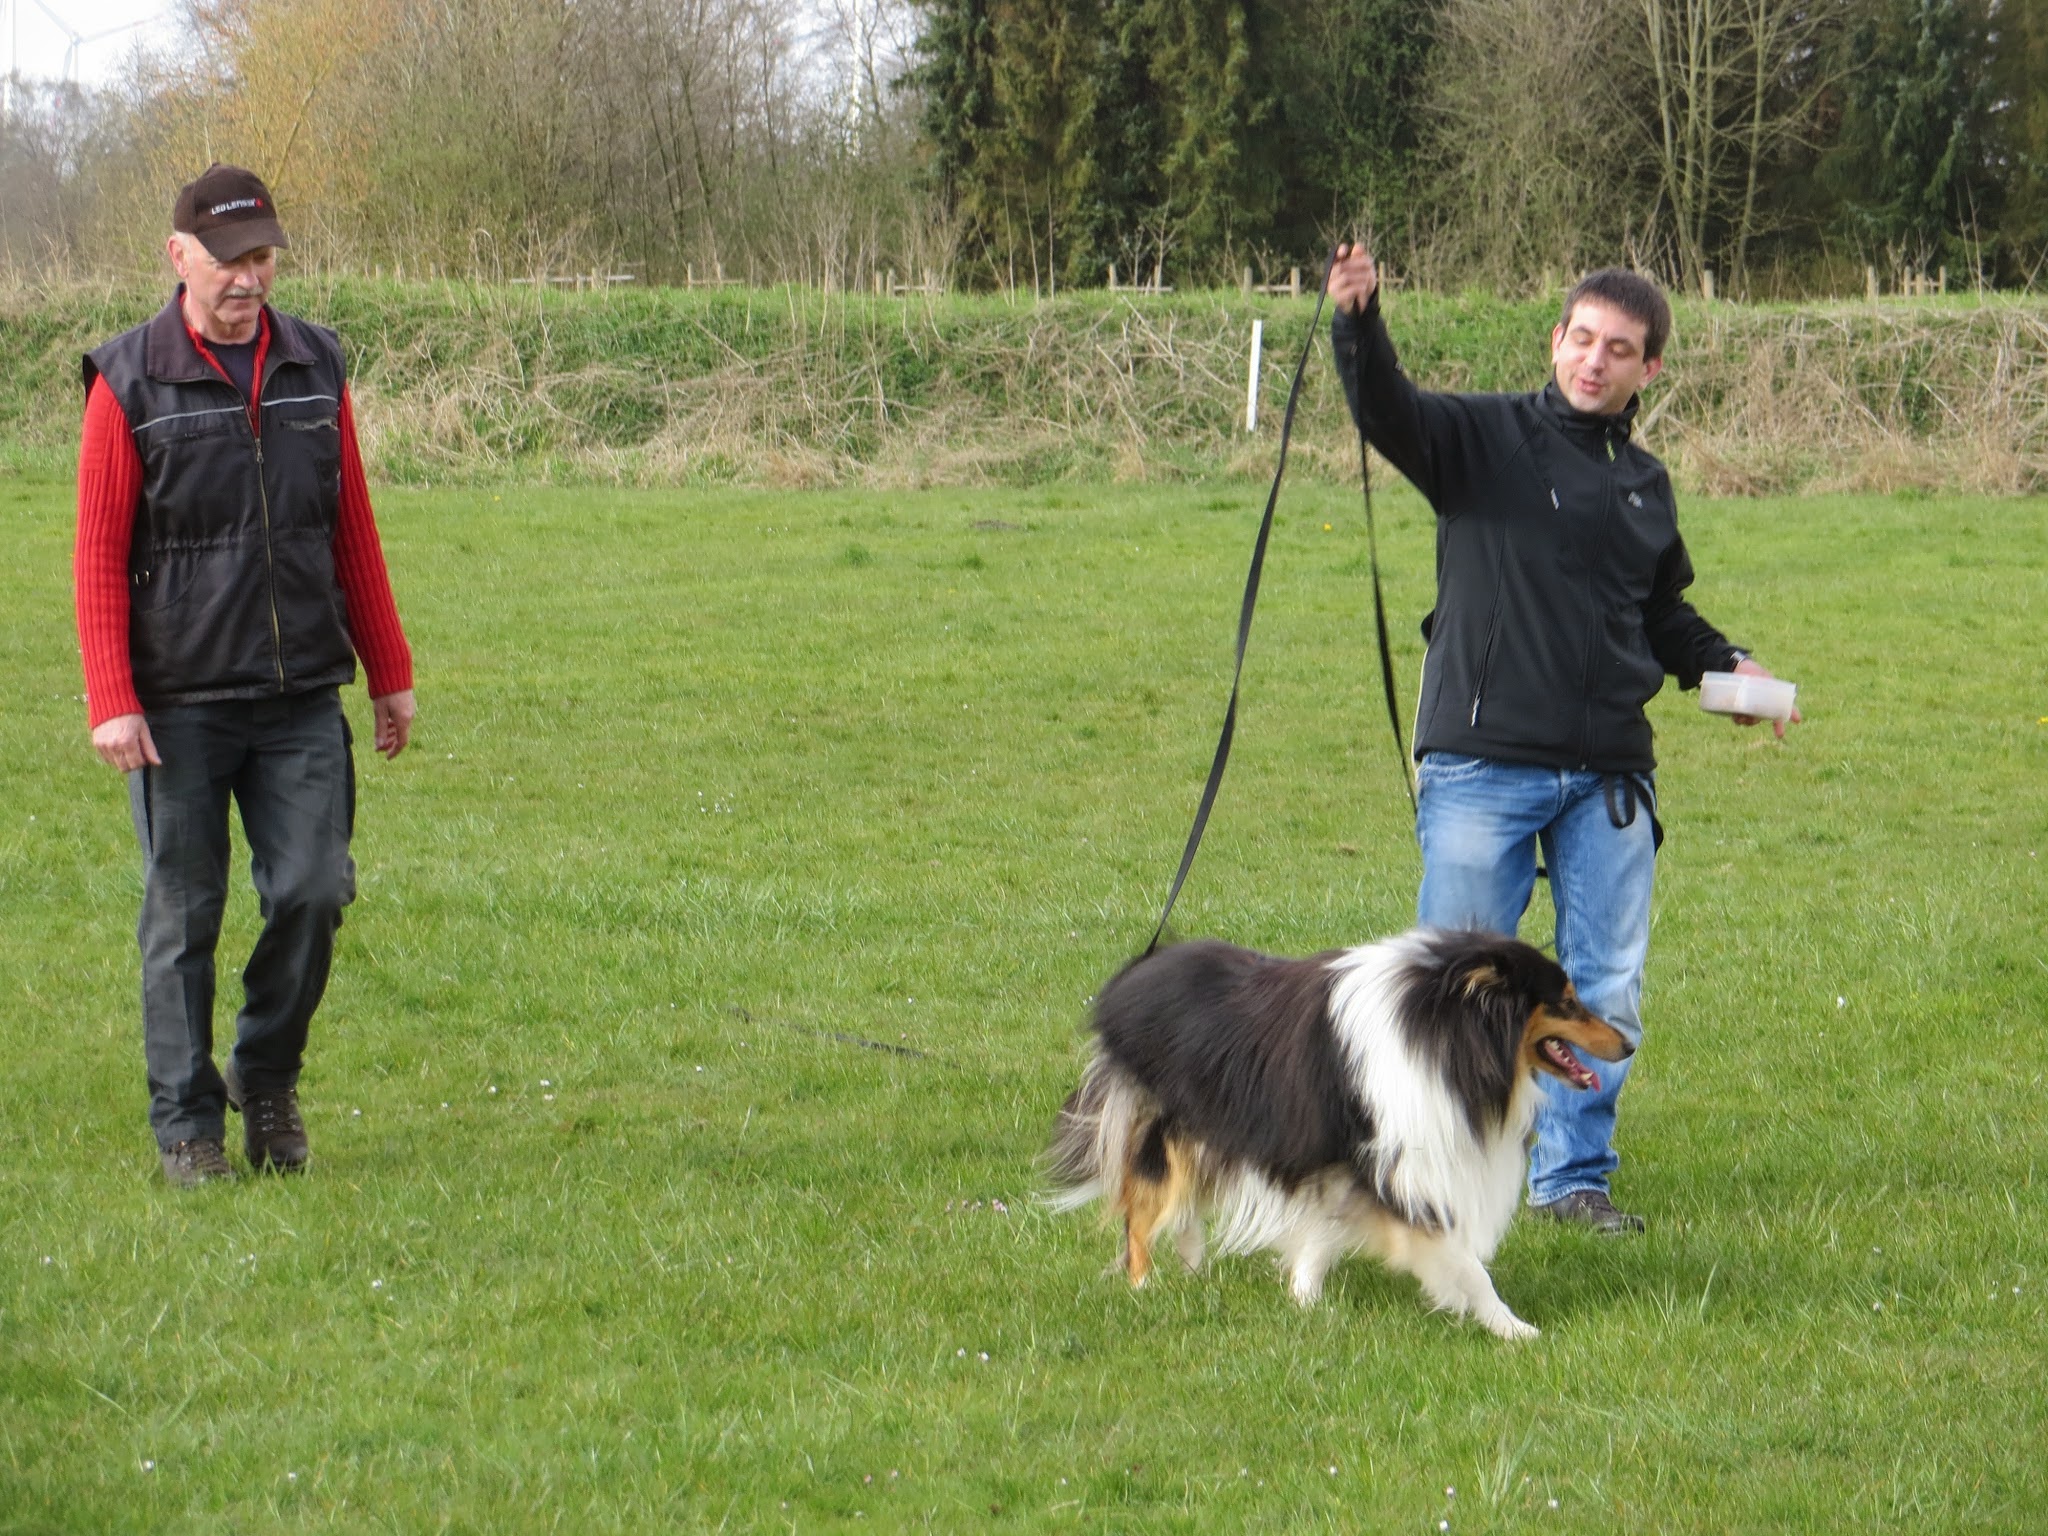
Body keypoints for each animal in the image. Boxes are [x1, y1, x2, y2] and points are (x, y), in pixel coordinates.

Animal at [1047, 927, 1632, 1340]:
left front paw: (1305, 1300)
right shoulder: (1400, 1169)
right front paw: (1514, 1329)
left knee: (1183, 1208)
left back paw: (1193, 1272)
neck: (1444, 1035)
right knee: (1141, 1214)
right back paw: (1144, 1288)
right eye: (1566, 1001)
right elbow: (1464, 1264)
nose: (1629, 1045)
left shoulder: (1345, 1166)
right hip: (1164, 1133)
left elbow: (1320, 1233)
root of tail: (1138, 971)